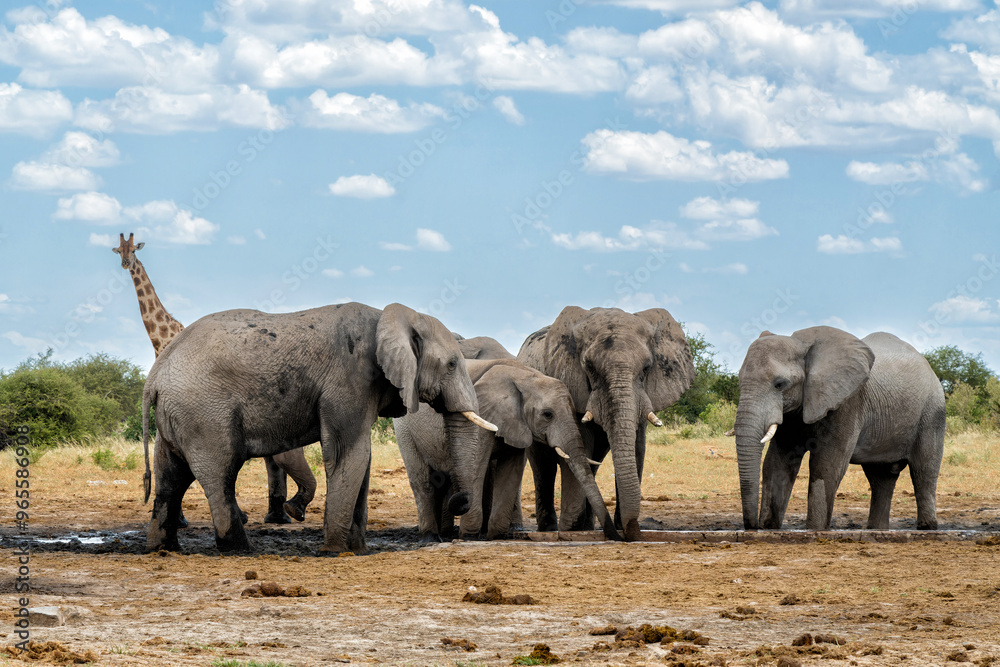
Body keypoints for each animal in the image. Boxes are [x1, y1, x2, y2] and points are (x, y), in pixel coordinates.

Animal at [110, 235, 312, 528]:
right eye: (118, 251)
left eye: (134, 250)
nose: (126, 263)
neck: (162, 339)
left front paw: (181, 518)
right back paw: (275, 514)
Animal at [142, 302, 496, 552]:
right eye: (452, 364)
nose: (457, 500)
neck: (393, 316)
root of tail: (154, 376)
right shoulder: (348, 381)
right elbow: (349, 455)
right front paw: (335, 551)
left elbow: (362, 460)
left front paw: (358, 550)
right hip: (204, 414)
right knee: (220, 475)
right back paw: (240, 550)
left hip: (178, 416)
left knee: (171, 478)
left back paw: (164, 549)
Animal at [394, 360, 620, 544]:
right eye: (547, 415)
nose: (616, 537)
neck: (523, 376)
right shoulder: (482, 413)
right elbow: (476, 466)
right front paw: (469, 537)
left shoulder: (517, 424)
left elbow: (511, 470)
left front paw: (497, 536)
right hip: (404, 430)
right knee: (423, 482)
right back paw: (431, 537)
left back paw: (445, 534)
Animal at [516, 308, 696, 544]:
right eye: (590, 368)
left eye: (646, 368)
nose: (626, 534)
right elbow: (581, 443)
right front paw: (572, 530)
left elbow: (637, 449)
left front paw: (620, 526)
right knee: (543, 466)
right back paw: (551, 529)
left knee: (591, 464)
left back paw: (588, 526)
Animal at [736, 328, 944, 532]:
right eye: (739, 380)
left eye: (780, 384)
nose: (753, 528)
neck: (802, 343)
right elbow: (776, 463)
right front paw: (769, 528)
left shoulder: (848, 402)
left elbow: (825, 466)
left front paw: (815, 531)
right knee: (881, 477)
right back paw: (877, 530)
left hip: (932, 412)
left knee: (924, 471)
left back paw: (927, 528)